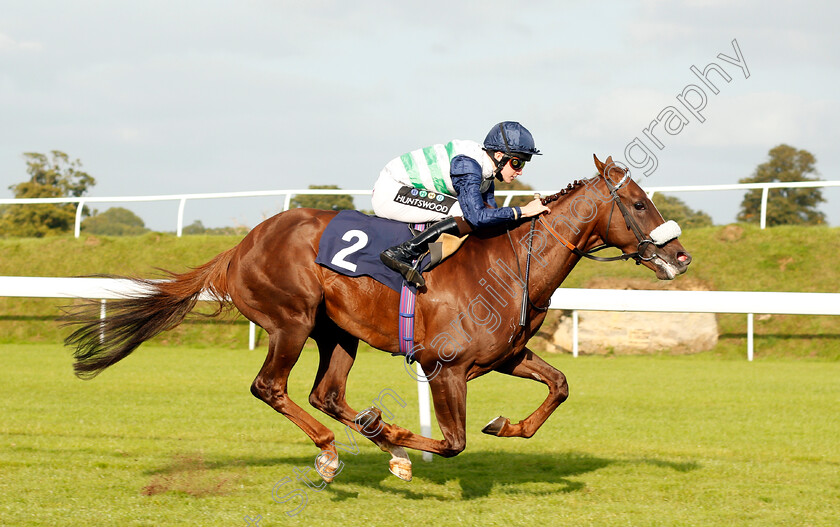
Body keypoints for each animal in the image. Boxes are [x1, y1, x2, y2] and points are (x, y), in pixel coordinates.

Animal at [64, 154, 688, 482]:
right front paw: (398, 438)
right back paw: (335, 450)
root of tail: (240, 245)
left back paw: (365, 442)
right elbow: (453, 442)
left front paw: (504, 425)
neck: (510, 265)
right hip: (291, 320)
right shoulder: (445, 367)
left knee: (326, 393)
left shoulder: (505, 356)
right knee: (271, 387)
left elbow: (558, 385)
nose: (680, 256)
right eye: (637, 203)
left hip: (337, 332)